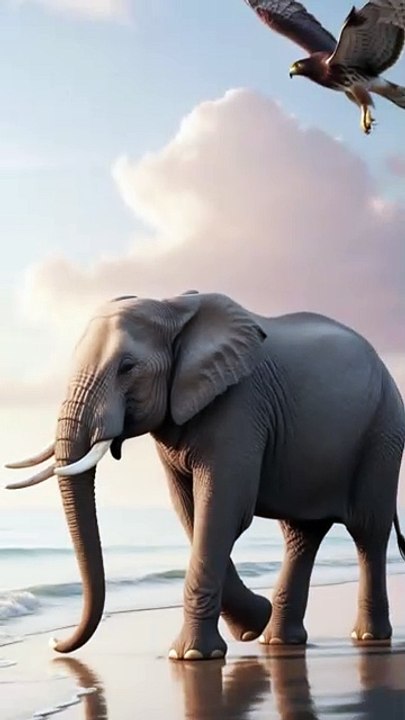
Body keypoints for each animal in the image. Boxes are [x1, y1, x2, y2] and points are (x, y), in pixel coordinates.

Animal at [6, 291, 405, 661]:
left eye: (127, 367)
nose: (56, 643)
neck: (171, 308)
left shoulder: (239, 405)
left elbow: (222, 509)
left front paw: (193, 656)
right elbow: (191, 511)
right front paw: (250, 624)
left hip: (383, 433)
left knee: (368, 532)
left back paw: (367, 637)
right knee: (301, 535)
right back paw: (276, 640)